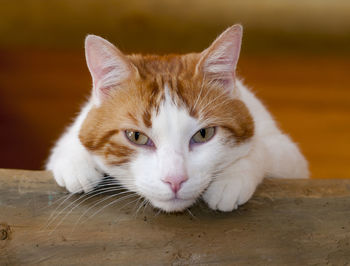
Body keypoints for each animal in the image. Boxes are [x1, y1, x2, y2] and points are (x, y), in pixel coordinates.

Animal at [45, 24, 308, 212]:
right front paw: (76, 162)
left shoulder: (291, 159)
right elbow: (74, 136)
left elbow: (262, 148)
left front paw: (231, 178)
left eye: (204, 134)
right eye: (136, 136)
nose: (175, 181)